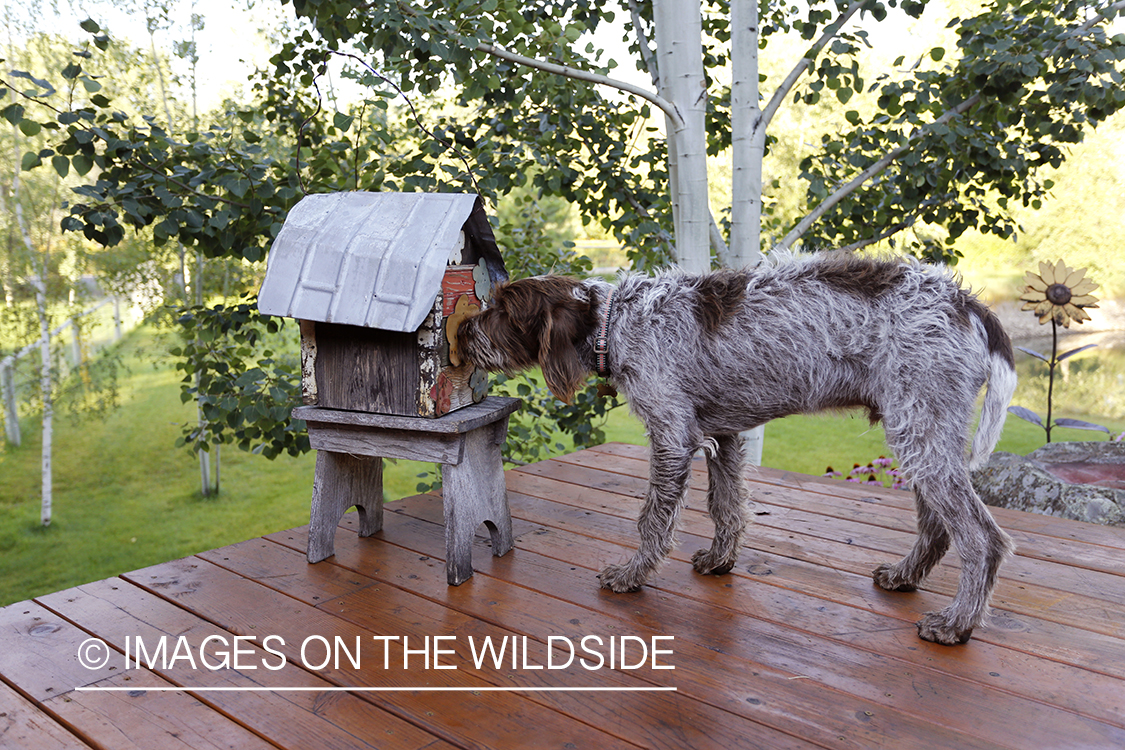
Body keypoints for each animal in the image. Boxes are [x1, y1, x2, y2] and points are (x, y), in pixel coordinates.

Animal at [456, 251, 1021, 647]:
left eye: (502, 308)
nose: (460, 332)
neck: (617, 322)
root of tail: (965, 301)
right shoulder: (723, 435)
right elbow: (725, 506)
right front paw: (720, 560)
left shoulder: (672, 436)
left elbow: (653, 519)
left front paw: (633, 575)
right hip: (921, 432)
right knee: (938, 526)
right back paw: (905, 578)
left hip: (919, 429)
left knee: (981, 538)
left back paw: (957, 624)